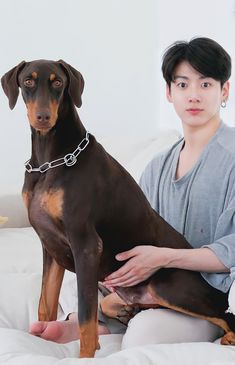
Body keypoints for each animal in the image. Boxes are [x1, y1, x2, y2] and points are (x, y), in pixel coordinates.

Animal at [1, 61, 235, 356]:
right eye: (28, 82)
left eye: (58, 83)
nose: (43, 117)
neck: (50, 161)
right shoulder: (49, 246)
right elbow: (46, 303)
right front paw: (43, 338)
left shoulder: (86, 244)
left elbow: (86, 318)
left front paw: (85, 357)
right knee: (108, 304)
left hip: (167, 285)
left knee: (226, 315)